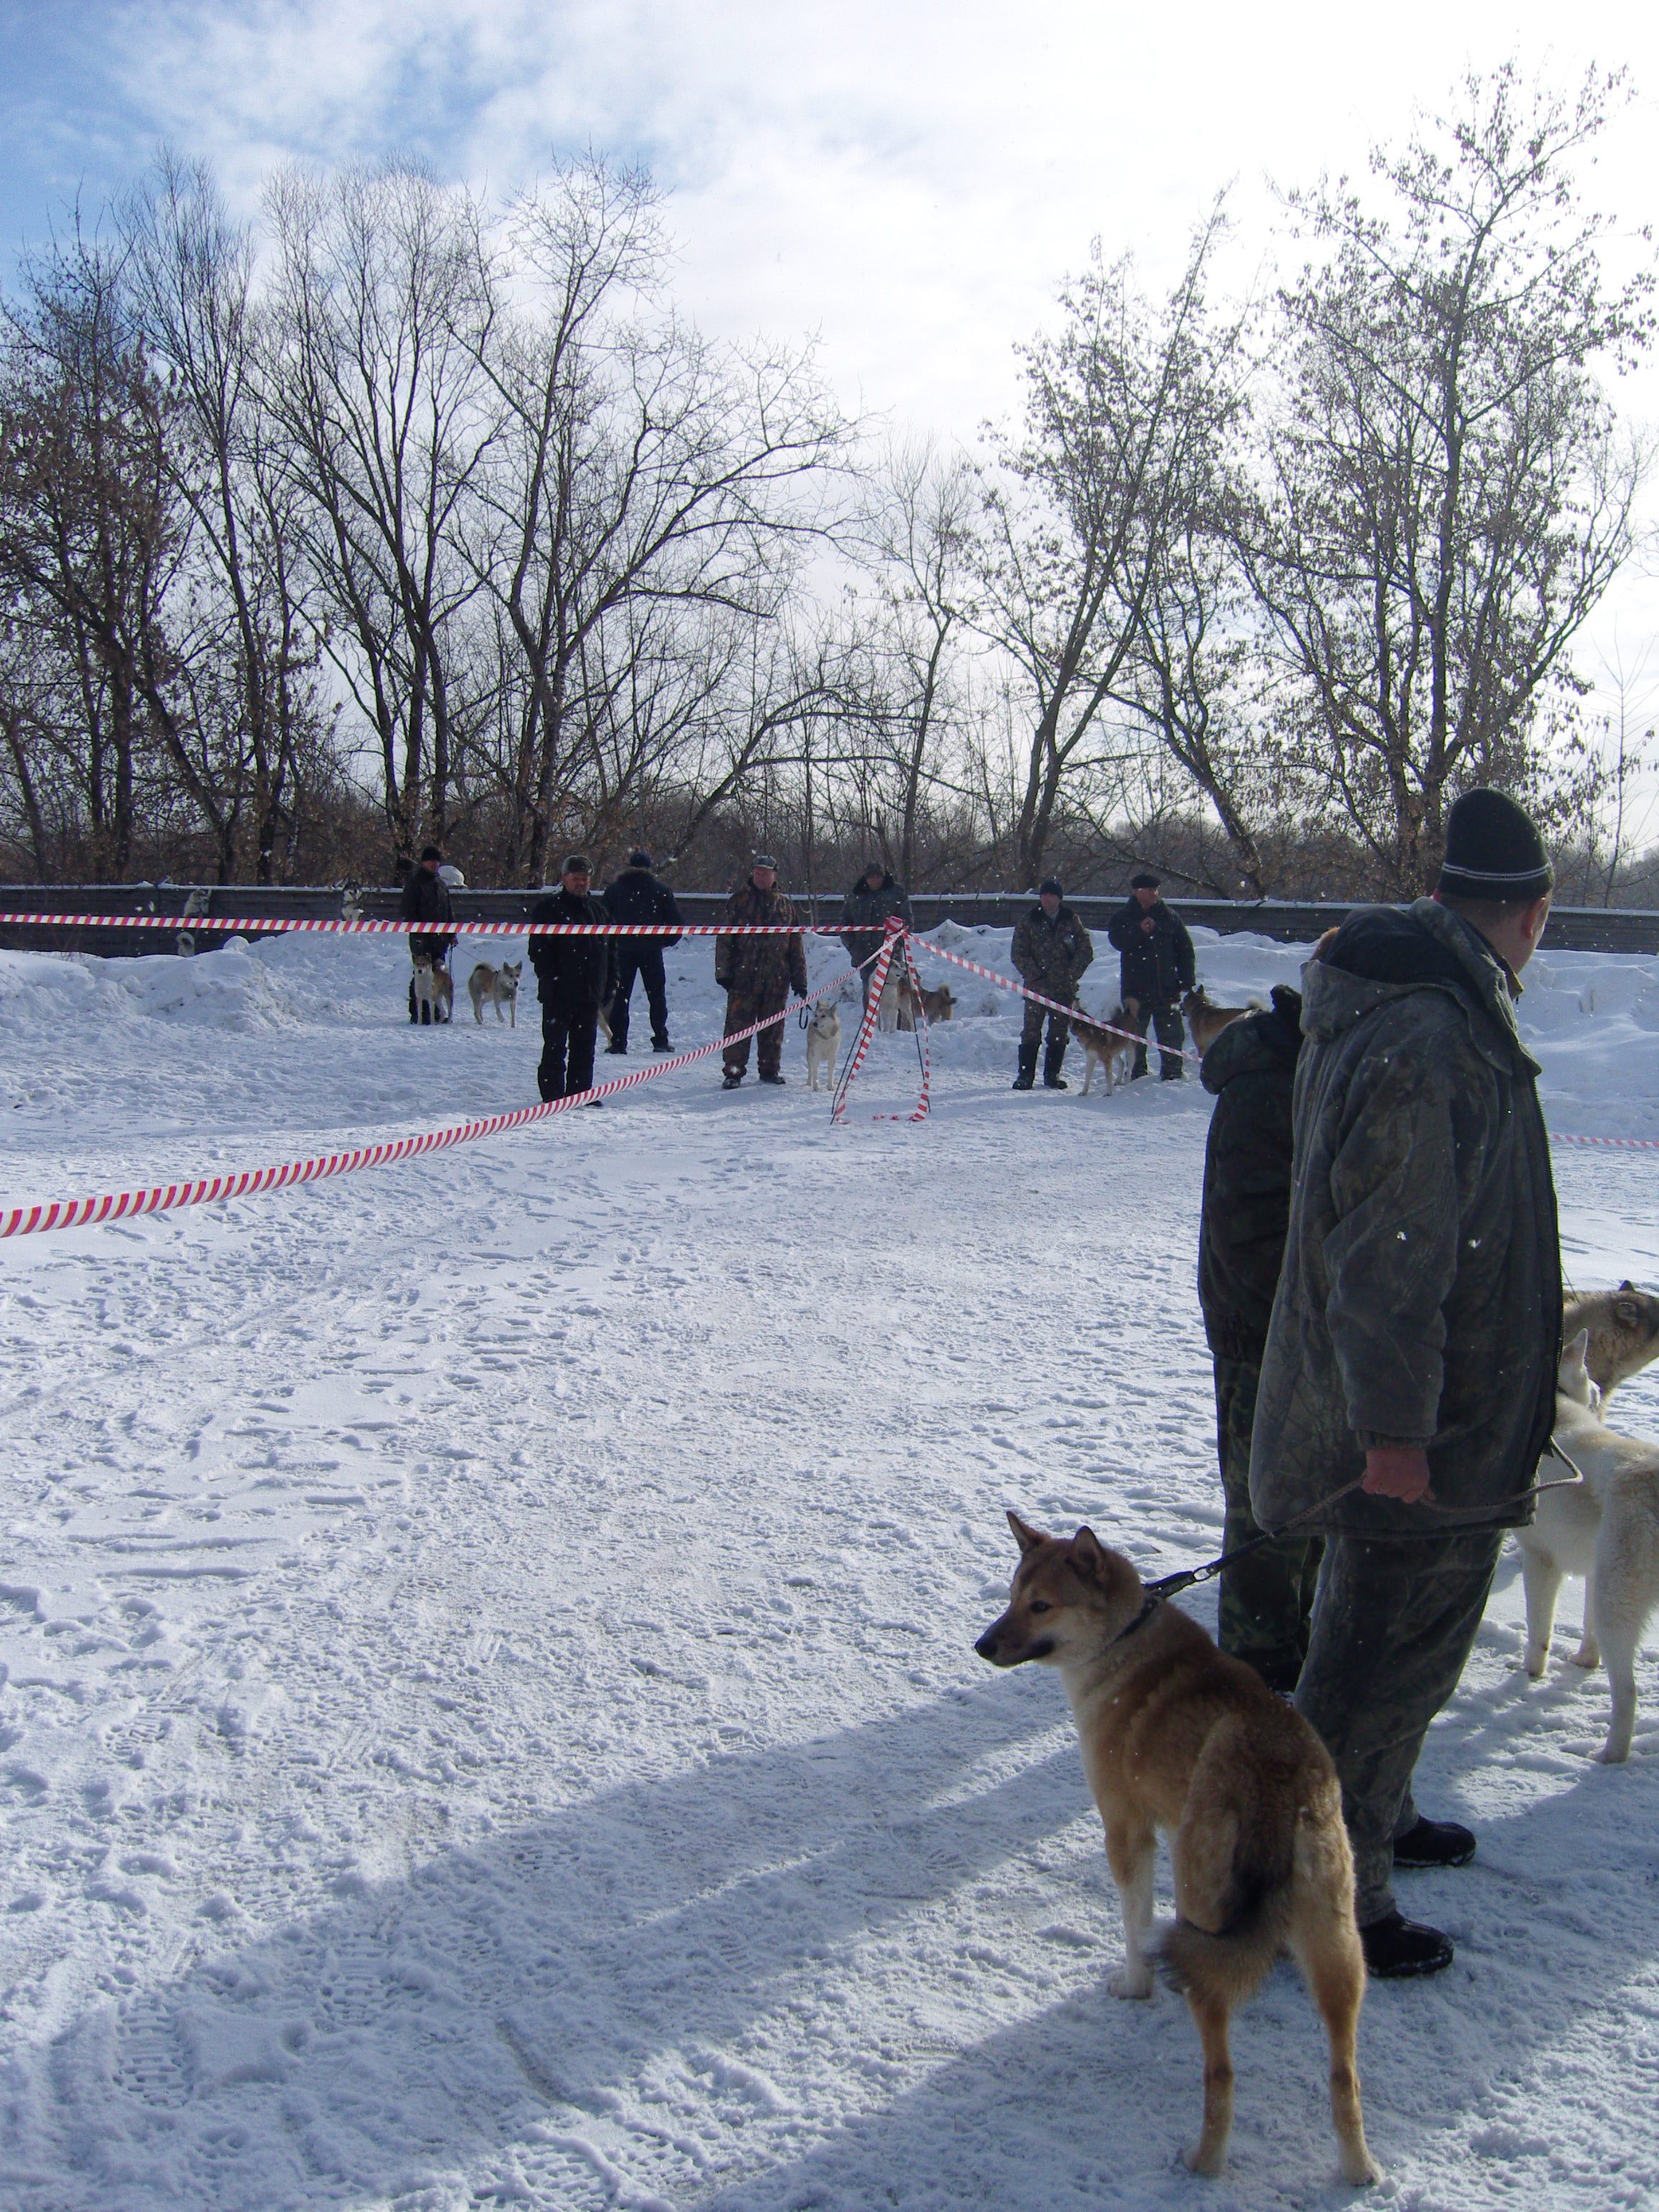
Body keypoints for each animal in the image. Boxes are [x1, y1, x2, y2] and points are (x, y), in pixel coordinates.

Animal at [977, 1514, 1377, 2185]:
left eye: (1041, 1606)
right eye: (1011, 1597)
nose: (983, 1646)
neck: (1122, 1643)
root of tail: (1274, 1782)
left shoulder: (1127, 1831)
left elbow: (1135, 1923)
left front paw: (1136, 1985)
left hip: (1204, 1920)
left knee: (1222, 2074)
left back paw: (1205, 2161)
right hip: (1338, 1943)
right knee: (1343, 2075)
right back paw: (1359, 2170)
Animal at [1073, 1000, 1139, 1096]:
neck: (1089, 1033)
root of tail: (1128, 1014)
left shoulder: (1106, 1060)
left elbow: (1108, 1077)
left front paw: (1108, 1093)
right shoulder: (1091, 1059)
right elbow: (1087, 1077)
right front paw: (1084, 1092)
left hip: (1130, 1052)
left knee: (1129, 1069)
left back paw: (1127, 1083)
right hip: (1114, 1053)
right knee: (1122, 1063)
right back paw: (1118, 1080)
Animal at [1519, 1329, 1659, 1763]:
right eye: (1594, 1385)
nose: (1600, 1392)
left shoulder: (1540, 1560)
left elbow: (1539, 1632)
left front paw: (1531, 1673)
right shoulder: (1594, 1574)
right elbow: (1587, 1628)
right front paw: (1584, 1661)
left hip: (1617, 1605)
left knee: (1628, 1695)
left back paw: (1609, 1756)